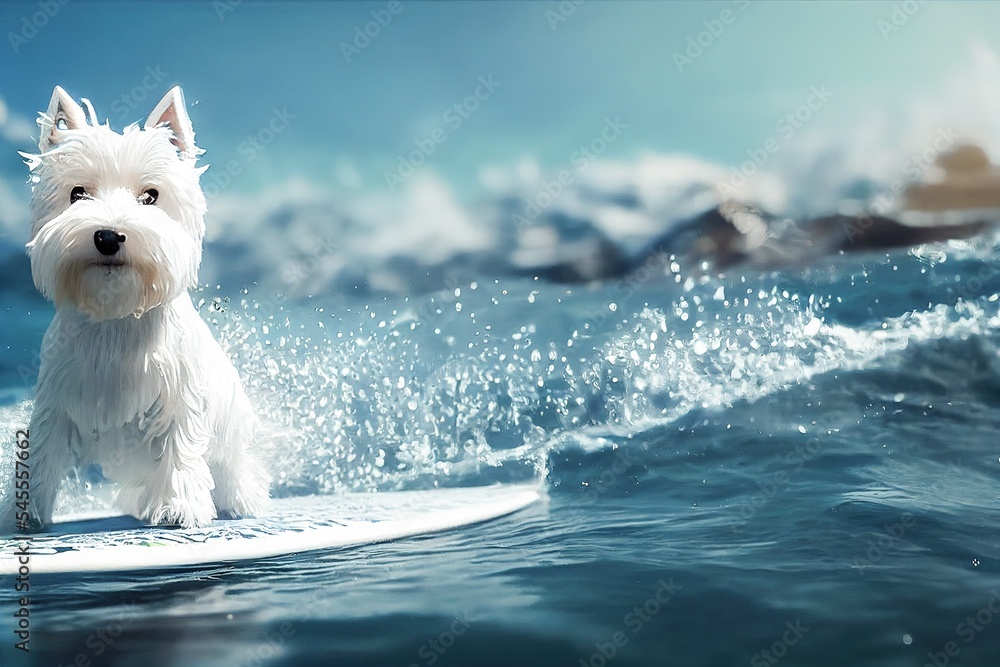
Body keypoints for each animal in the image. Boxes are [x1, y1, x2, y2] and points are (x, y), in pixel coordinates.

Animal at [12, 86, 270, 528]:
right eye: (77, 193)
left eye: (151, 196)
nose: (108, 237)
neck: (117, 314)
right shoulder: (56, 398)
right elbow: (42, 452)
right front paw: (23, 513)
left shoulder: (181, 396)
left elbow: (181, 448)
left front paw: (180, 508)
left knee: (232, 468)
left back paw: (241, 501)